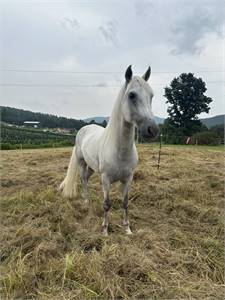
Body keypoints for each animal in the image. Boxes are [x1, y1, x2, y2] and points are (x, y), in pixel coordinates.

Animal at [59, 67, 158, 236]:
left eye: (151, 95)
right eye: (132, 95)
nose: (153, 130)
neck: (119, 150)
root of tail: (84, 128)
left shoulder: (128, 178)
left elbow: (125, 203)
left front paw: (127, 229)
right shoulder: (105, 179)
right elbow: (107, 204)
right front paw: (105, 231)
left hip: (92, 168)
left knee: (85, 178)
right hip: (81, 162)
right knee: (82, 179)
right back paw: (86, 202)